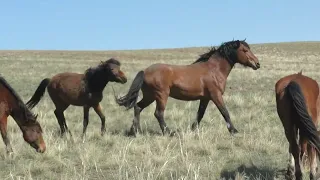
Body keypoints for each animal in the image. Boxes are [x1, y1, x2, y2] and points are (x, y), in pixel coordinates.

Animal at [115, 39, 260, 136]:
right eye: (245, 50)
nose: (257, 64)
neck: (214, 69)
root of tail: (145, 71)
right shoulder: (216, 95)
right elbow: (225, 112)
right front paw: (234, 131)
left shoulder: (205, 98)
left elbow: (200, 114)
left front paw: (193, 129)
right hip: (161, 95)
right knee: (158, 113)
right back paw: (169, 132)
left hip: (150, 96)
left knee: (138, 107)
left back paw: (135, 131)